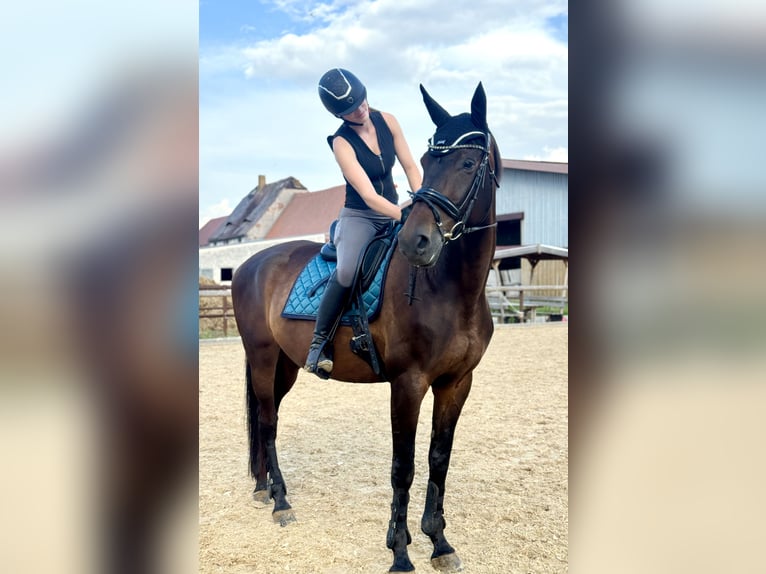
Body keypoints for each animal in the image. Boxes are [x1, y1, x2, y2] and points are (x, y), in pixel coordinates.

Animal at [231, 82, 501, 572]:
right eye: (429, 161)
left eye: (468, 164)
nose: (417, 241)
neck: (451, 286)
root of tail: (250, 264)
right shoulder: (408, 383)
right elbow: (403, 467)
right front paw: (400, 551)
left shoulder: (457, 383)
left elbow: (438, 459)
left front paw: (440, 543)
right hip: (261, 358)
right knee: (269, 421)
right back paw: (281, 502)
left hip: (285, 366)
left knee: (264, 419)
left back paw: (264, 489)